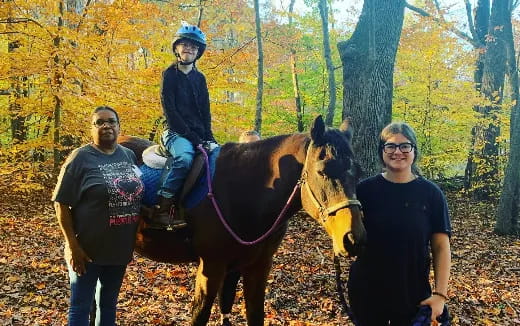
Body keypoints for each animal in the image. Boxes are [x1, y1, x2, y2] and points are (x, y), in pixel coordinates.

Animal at [120, 115, 368, 326]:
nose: (353, 238)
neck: (245, 190)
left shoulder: (256, 266)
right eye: (322, 171)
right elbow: (200, 316)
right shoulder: (211, 267)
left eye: (359, 173)